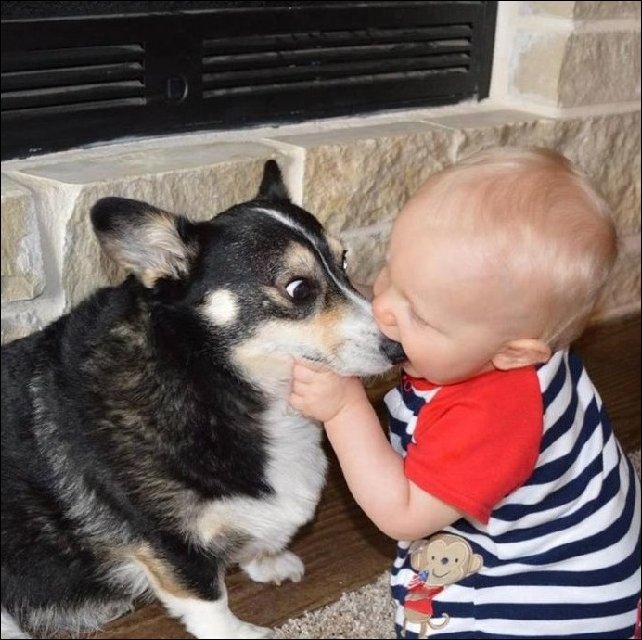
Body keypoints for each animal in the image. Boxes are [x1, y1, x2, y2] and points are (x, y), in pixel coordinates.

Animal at [1, 160, 404, 639]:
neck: (208, 378)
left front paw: (268, 562)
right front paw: (242, 632)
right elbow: (207, 598)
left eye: (344, 260)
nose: (401, 349)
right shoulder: (167, 543)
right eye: (299, 289)